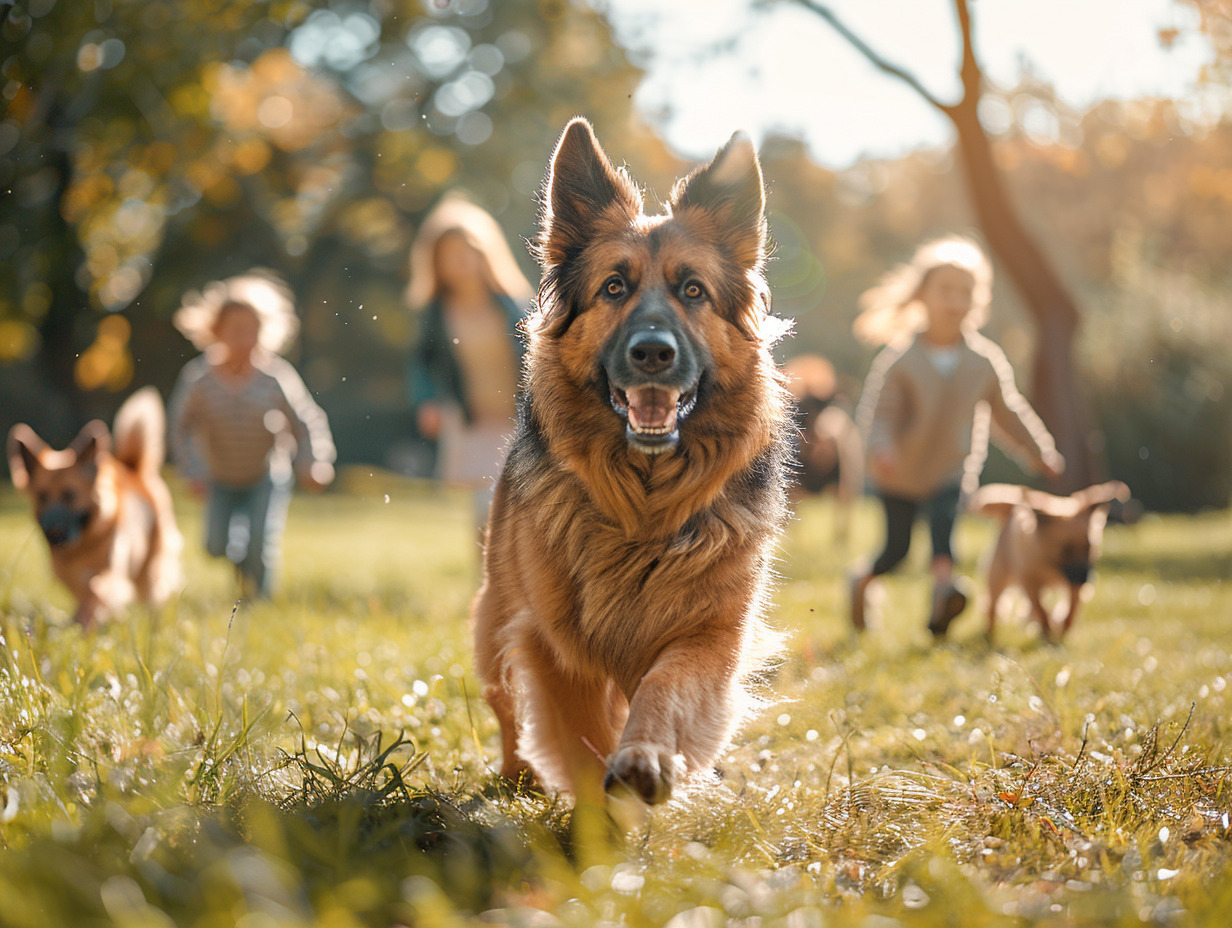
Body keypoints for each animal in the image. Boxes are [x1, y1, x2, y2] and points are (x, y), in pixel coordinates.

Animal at [7, 386, 182, 626]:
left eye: (70, 495)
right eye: (42, 496)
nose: (53, 532)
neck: (82, 545)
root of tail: (132, 469)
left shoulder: (107, 573)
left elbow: (95, 595)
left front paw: (86, 623)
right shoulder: (71, 577)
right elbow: (85, 598)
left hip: (149, 569)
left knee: (153, 595)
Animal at [470, 117, 788, 803]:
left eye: (693, 290)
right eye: (613, 288)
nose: (652, 354)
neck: (642, 505)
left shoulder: (710, 632)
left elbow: (666, 689)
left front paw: (646, 758)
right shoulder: (550, 644)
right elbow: (584, 739)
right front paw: (598, 820)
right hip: (493, 621)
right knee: (506, 706)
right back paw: (515, 775)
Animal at [965, 480, 1128, 640]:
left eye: (1089, 548)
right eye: (1064, 551)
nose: (1086, 580)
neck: (1050, 565)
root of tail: (1010, 512)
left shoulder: (1073, 585)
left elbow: (1071, 608)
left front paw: (1063, 627)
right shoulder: (1030, 582)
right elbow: (1041, 609)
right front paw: (1048, 630)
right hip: (998, 577)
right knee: (992, 605)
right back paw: (990, 634)